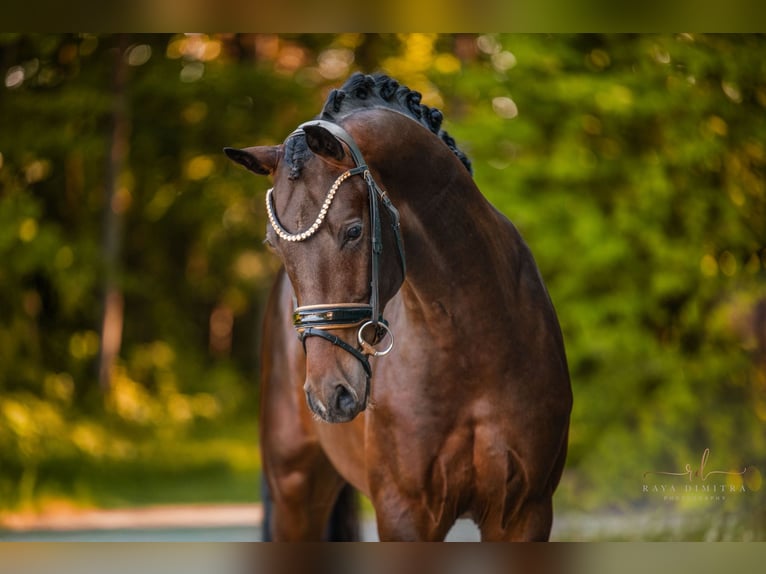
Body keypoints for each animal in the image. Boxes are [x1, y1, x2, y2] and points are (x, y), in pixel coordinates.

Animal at [225, 73, 572, 541]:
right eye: (273, 245)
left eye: (354, 231)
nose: (329, 395)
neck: (472, 342)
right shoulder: (404, 513)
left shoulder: (525, 512)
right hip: (293, 490)